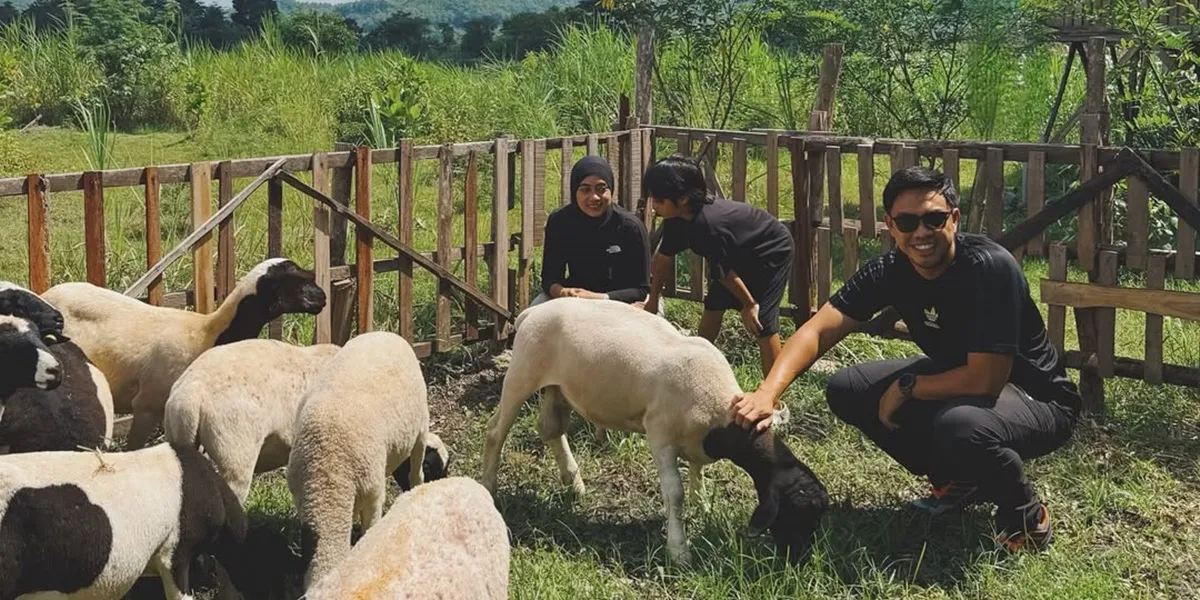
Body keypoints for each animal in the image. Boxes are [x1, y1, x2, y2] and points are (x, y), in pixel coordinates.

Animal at [480, 297, 829, 565]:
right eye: (795, 512)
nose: (800, 561)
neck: (723, 415)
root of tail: (530, 313)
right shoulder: (659, 435)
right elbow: (674, 493)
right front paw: (679, 550)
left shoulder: (696, 440)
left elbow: (698, 471)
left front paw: (702, 505)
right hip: (523, 374)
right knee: (496, 431)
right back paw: (489, 487)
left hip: (557, 387)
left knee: (550, 429)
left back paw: (574, 483)